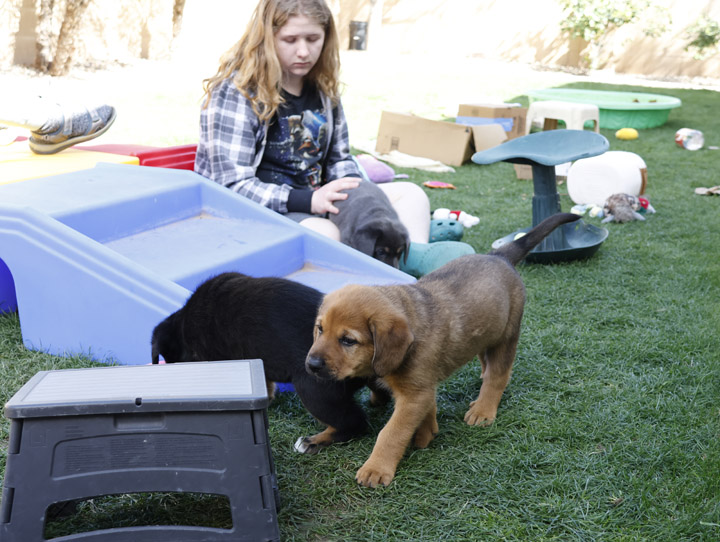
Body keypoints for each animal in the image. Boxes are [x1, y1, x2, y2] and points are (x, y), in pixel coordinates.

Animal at [304, 212, 580, 488]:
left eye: (348, 340)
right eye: (320, 329)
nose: (311, 365)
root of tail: (498, 256)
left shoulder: (414, 394)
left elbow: (391, 433)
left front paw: (376, 468)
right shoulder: (421, 390)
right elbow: (427, 408)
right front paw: (427, 433)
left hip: (508, 333)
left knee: (498, 376)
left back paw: (483, 409)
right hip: (488, 329)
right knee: (485, 359)